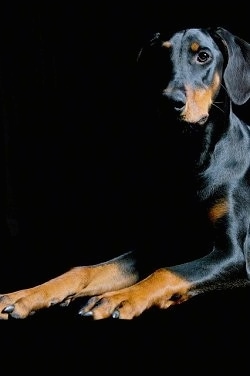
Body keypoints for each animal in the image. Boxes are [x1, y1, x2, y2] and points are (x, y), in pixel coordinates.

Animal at [0, 27, 250, 320]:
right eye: (159, 57)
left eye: (203, 56)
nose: (170, 102)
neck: (191, 158)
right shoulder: (157, 244)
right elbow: (84, 270)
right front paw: (23, 296)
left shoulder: (232, 254)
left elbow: (166, 272)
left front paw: (117, 299)